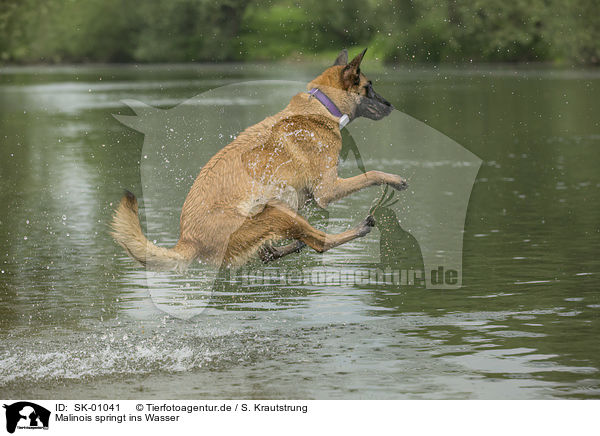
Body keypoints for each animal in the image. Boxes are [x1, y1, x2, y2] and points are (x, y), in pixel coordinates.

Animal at [110, 49, 408, 270]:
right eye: (369, 87)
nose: (392, 106)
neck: (322, 106)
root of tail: (189, 239)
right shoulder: (327, 189)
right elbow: (372, 174)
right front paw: (395, 179)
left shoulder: (307, 195)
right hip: (275, 212)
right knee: (319, 242)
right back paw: (359, 227)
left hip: (275, 213)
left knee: (277, 250)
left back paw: (290, 245)